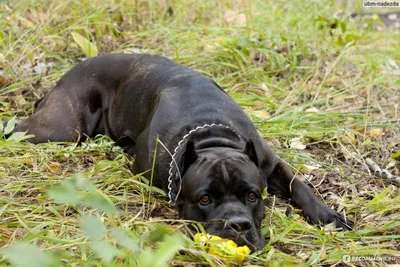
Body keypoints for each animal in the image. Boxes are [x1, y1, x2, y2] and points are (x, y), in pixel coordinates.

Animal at [14, 54, 354, 251]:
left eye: (252, 196)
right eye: (204, 200)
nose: (237, 225)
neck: (212, 138)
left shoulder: (271, 163)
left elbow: (300, 185)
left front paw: (328, 215)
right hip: (60, 128)